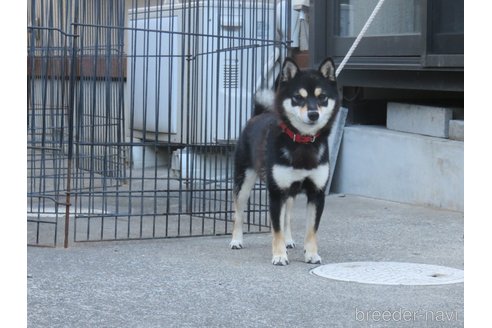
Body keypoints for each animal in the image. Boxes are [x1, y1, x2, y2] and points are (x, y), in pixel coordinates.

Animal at [230, 57, 338, 266]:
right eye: (298, 97)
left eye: (322, 97)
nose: (313, 114)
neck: (303, 142)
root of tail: (258, 115)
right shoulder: (276, 193)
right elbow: (276, 227)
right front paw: (279, 256)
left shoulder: (316, 193)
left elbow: (311, 230)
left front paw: (311, 254)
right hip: (244, 181)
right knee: (239, 212)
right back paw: (236, 240)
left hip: (290, 192)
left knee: (286, 217)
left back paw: (288, 240)